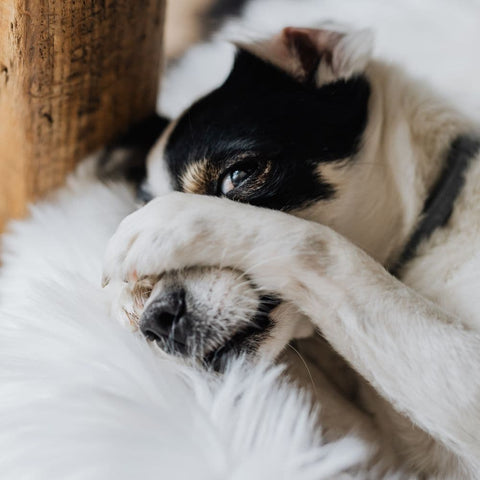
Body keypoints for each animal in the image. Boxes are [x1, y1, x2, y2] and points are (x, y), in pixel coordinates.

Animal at [103, 28, 480, 478]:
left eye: (239, 175)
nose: (155, 321)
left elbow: (319, 246)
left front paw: (172, 221)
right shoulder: (373, 455)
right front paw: (130, 298)